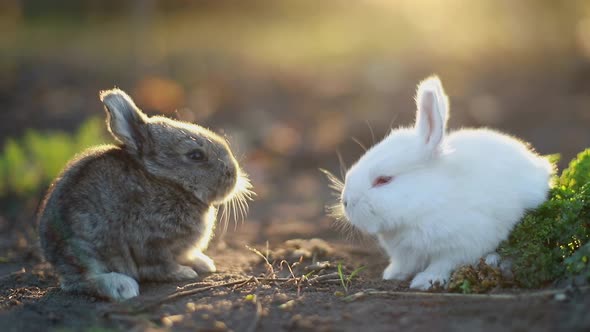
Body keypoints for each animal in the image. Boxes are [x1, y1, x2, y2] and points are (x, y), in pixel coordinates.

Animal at [38, 89, 252, 300]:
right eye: (196, 155)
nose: (234, 173)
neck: (168, 182)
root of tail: (51, 253)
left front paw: (203, 263)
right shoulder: (152, 243)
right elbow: (162, 267)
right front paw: (184, 273)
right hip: (85, 247)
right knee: (82, 280)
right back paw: (123, 287)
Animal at [338, 76, 556, 290]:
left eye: (383, 180)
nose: (345, 202)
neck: (427, 203)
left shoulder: (462, 245)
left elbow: (442, 264)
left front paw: (425, 281)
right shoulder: (405, 253)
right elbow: (404, 264)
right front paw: (392, 275)